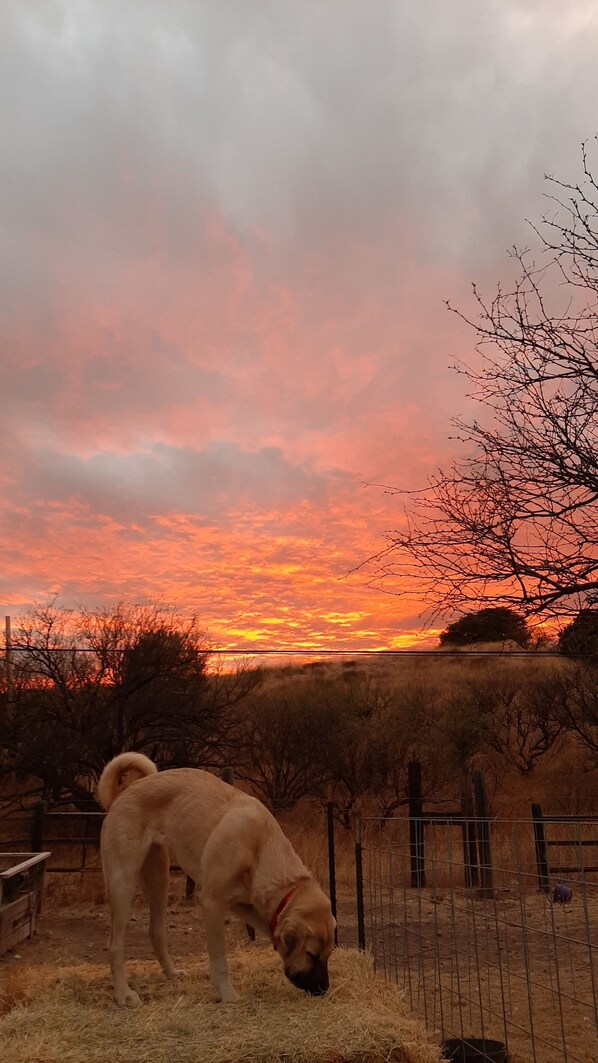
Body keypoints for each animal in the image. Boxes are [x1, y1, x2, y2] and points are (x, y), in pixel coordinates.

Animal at [96, 756, 335, 1003]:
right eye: (312, 954)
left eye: (328, 954)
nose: (324, 989)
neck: (260, 848)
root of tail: (122, 793)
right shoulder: (213, 902)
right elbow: (220, 961)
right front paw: (228, 993)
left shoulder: (245, 905)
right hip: (123, 883)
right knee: (114, 945)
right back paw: (123, 994)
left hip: (159, 878)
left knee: (156, 931)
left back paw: (171, 973)